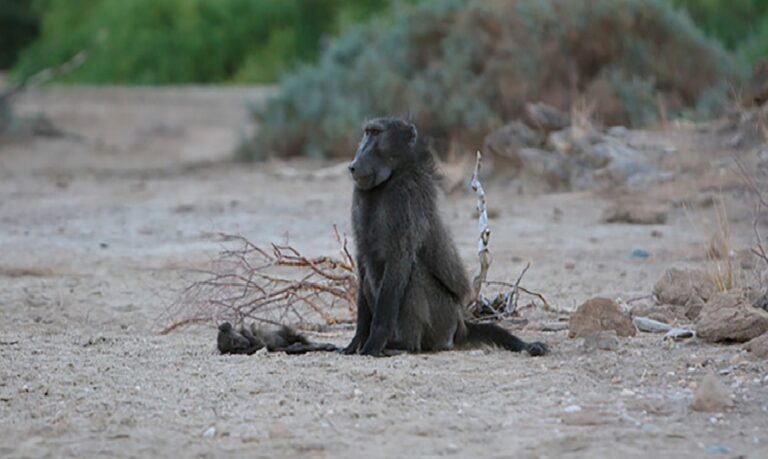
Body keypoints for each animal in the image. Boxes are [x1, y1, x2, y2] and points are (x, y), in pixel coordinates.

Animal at [343, 117, 547, 357]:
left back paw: (404, 345)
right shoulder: (360, 195)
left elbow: (399, 259)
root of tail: (460, 326)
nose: (353, 165)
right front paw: (356, 342)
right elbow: (363, 259)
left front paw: (373, 344)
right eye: (367, 133)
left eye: (376, 133)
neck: (395, 175)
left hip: (443, 319)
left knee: (413, 274)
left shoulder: (405, 195)